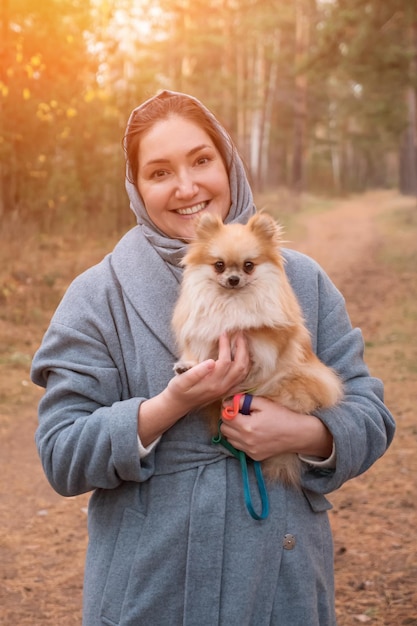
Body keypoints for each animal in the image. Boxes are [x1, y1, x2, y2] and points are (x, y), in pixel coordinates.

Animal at [171, 212, 342, 486]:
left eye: (248, 266)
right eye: (219, 265)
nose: (233, 279)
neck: (232, 301)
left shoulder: (271, 337)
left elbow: (258, 335)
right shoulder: (206, 336)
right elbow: (204, 353)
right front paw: (188, 366)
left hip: (301, 381)